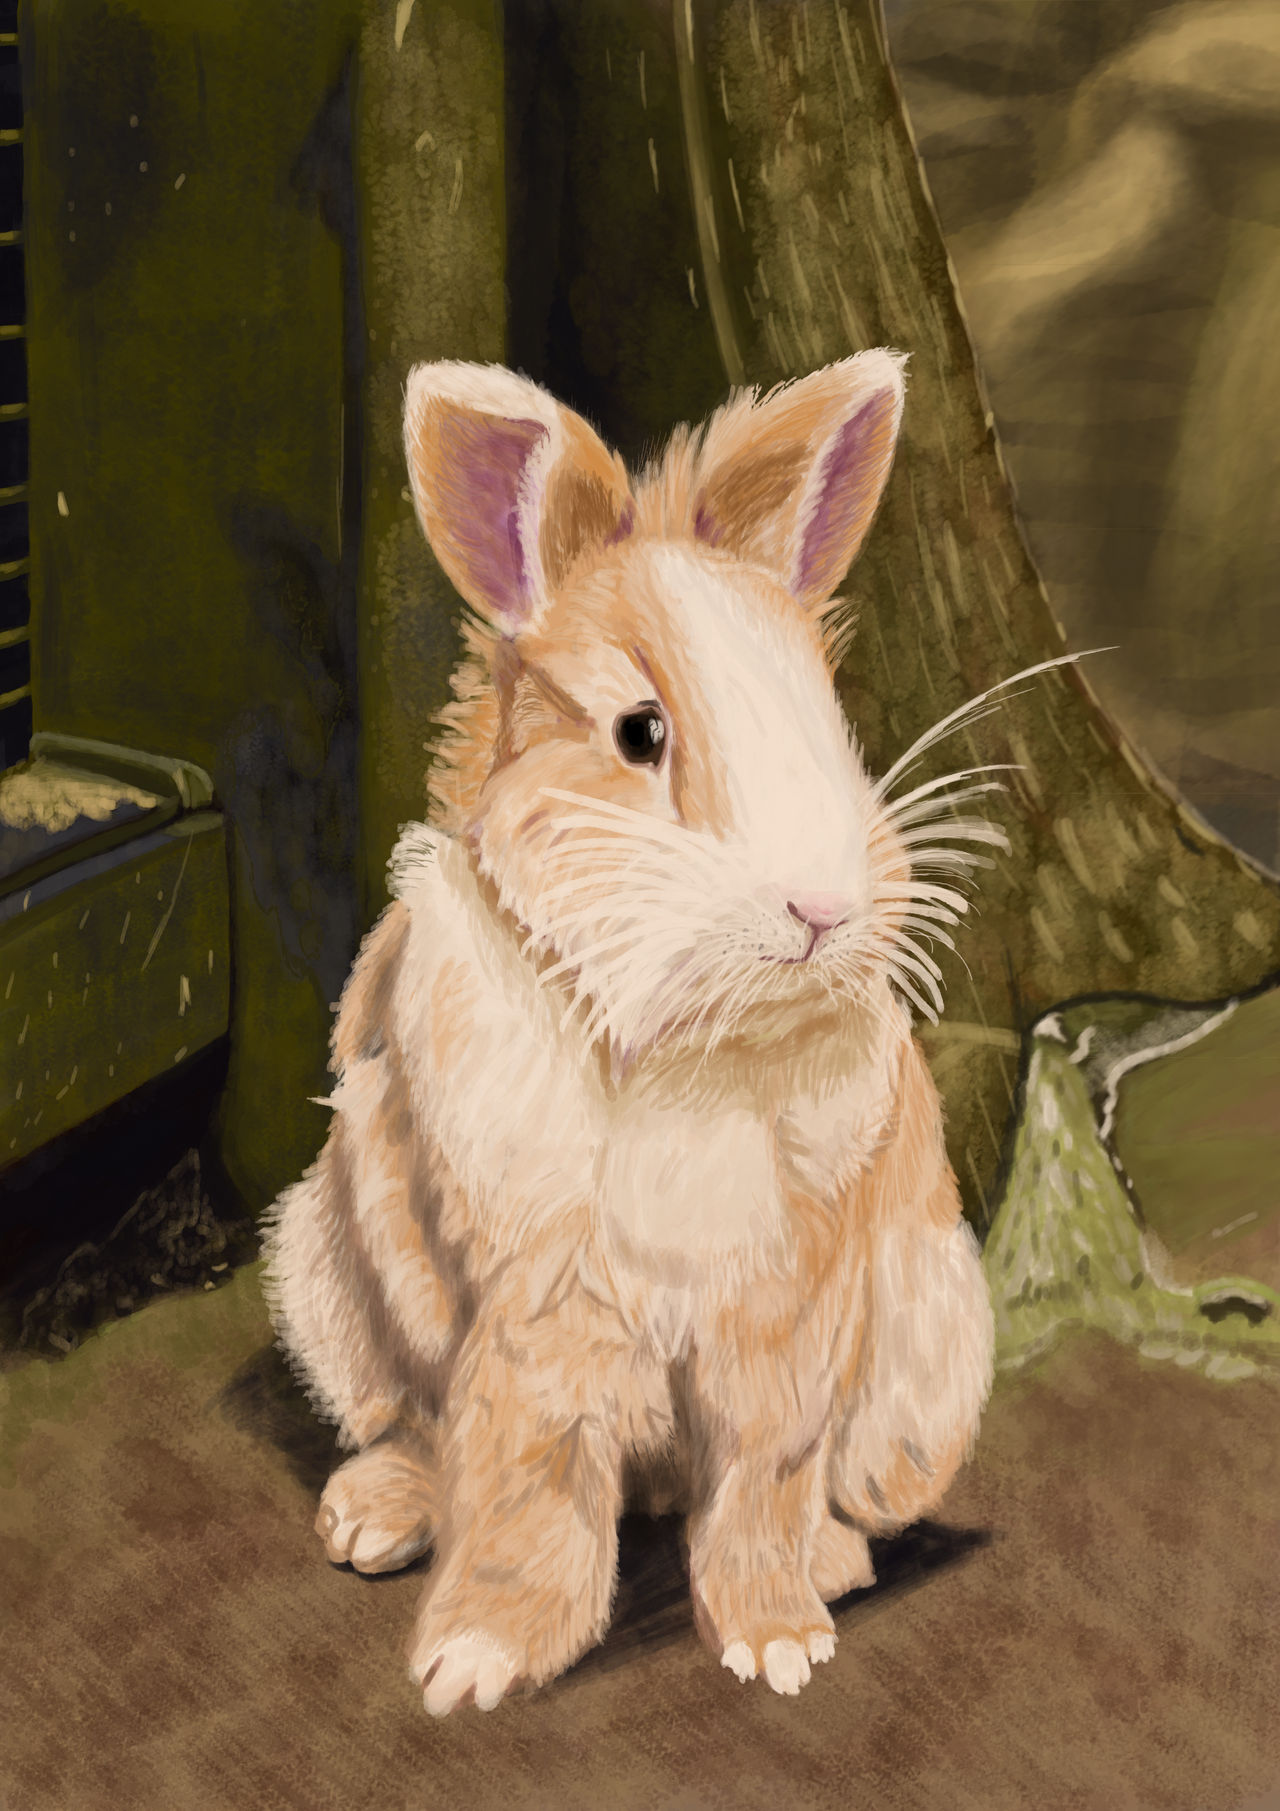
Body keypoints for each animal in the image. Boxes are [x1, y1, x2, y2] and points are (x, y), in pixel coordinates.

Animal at [263, 349, 995, 1715]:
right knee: (414, 1425)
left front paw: (776, 1638)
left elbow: (763, 1467)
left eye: (826, 721)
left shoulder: (782, 1302)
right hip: (330, 1270)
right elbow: (527, 1469)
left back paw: (832, 1560)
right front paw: (474, 1660)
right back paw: (373, 1517)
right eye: (638, 732)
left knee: (836, 1479)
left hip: (923, 1370)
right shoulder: (539, 1297)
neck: (685, 1034)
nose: (819, 907)